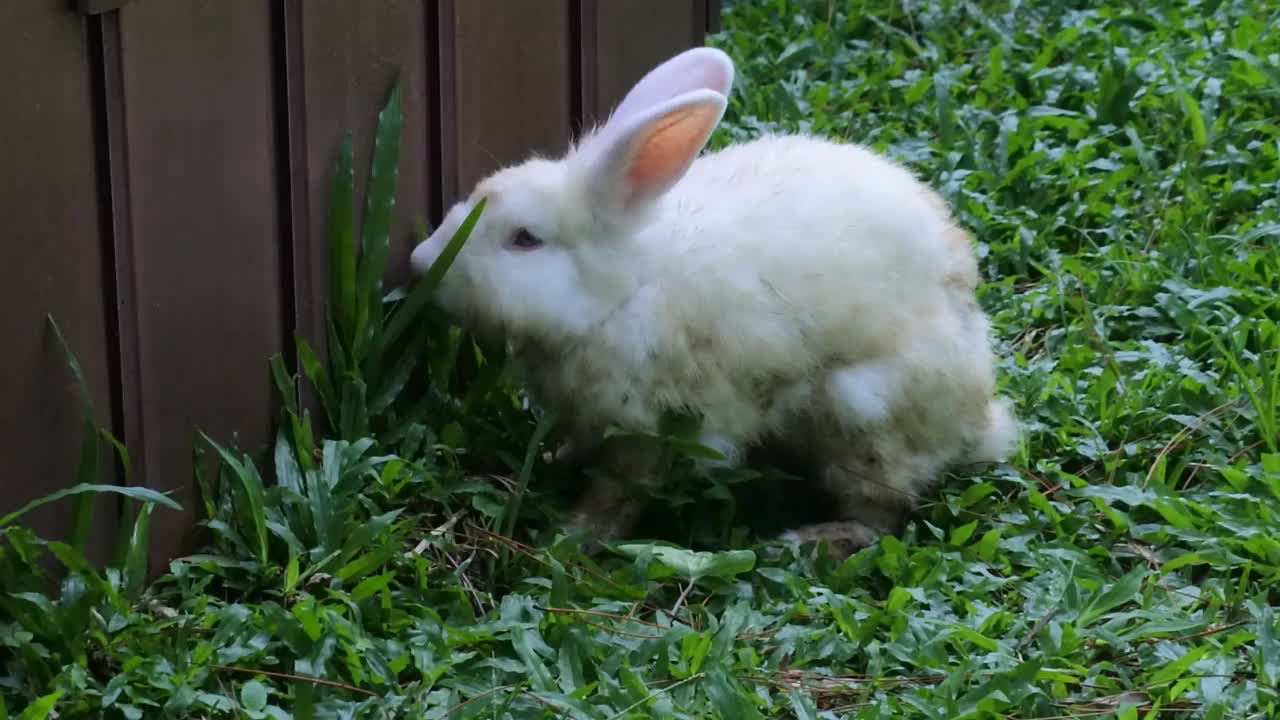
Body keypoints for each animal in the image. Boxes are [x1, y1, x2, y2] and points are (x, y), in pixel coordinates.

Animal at [409, 46, 1018, 548]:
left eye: (524, 239)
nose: (420, 261)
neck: (624, 294)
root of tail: (978, 415)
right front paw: (557, 462)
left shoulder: (653, 425)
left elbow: (621, 488)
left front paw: (578, 533)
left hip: (864, 416)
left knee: (883, 510)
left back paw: (816, 539)